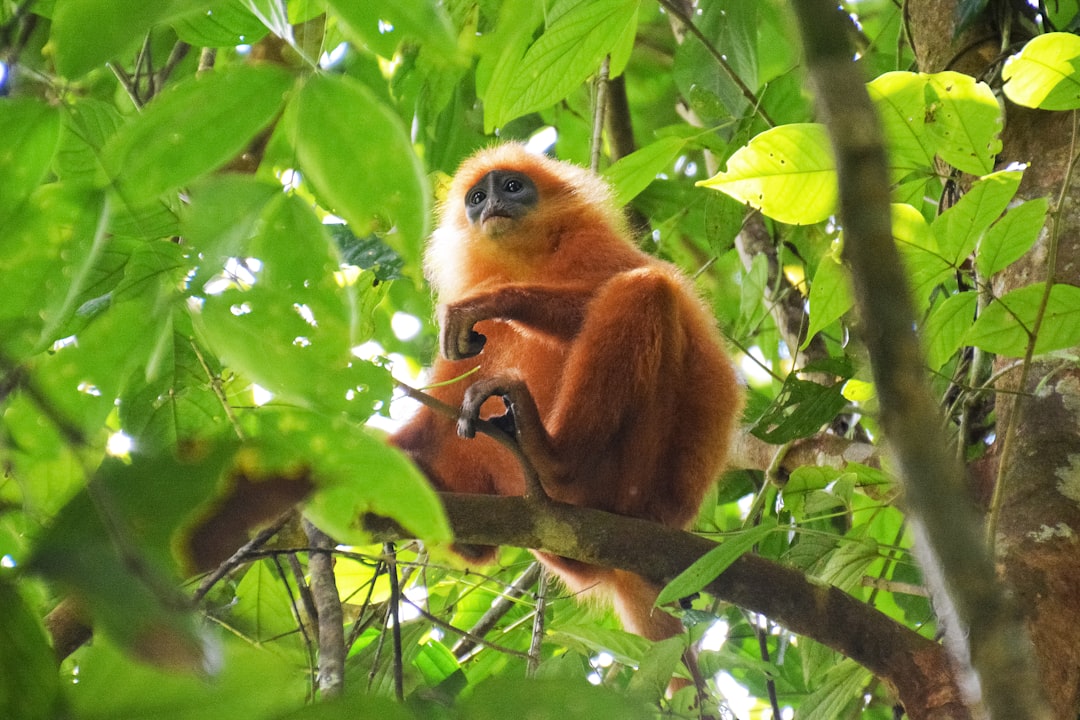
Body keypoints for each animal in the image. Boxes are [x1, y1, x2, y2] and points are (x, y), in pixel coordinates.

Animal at [395, 143, 743, 643]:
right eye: (477, 197)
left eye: (513, 186)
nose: (491, 204)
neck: (525, 259)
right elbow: (434, 419)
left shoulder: (591, 244)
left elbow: (613, 287)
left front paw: (495, 301)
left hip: (638, 480)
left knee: (644, 289)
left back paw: (553, 459)